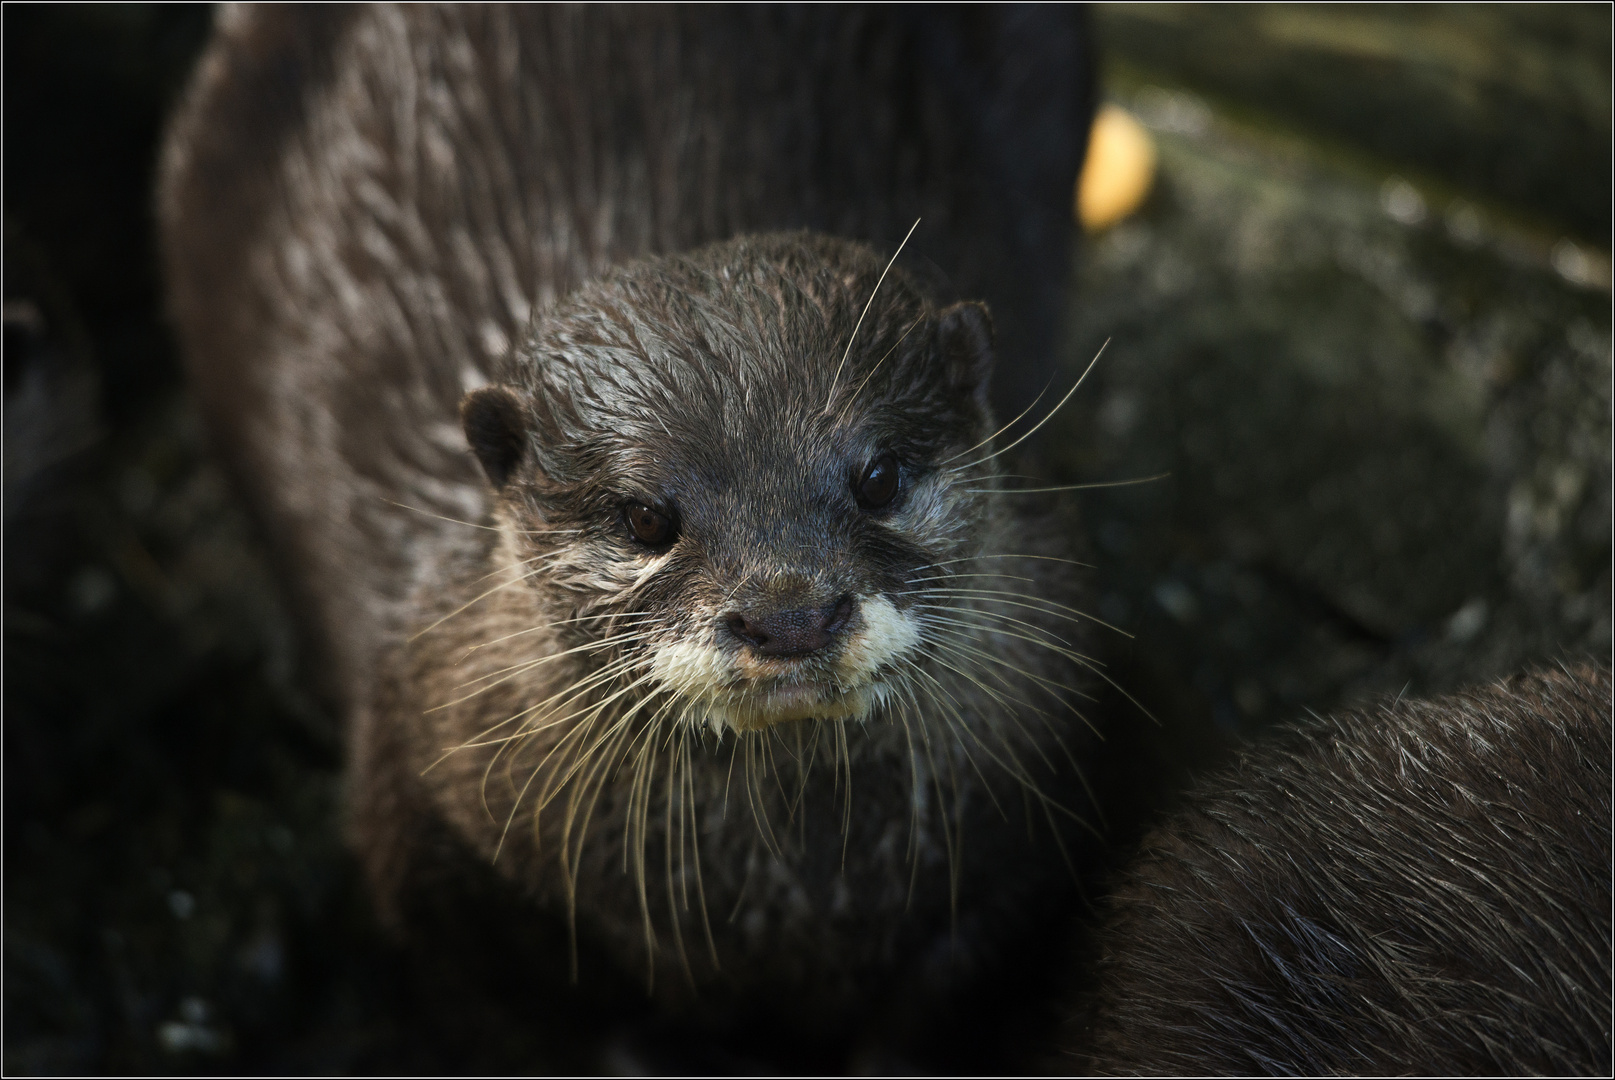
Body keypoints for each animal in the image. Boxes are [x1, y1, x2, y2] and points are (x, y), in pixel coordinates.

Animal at [157, 0, 1104, 1059]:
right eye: (647, 516)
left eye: (879, 477)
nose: (789, 615)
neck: (780, 910)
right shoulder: (432, 841)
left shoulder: (1031, 822)